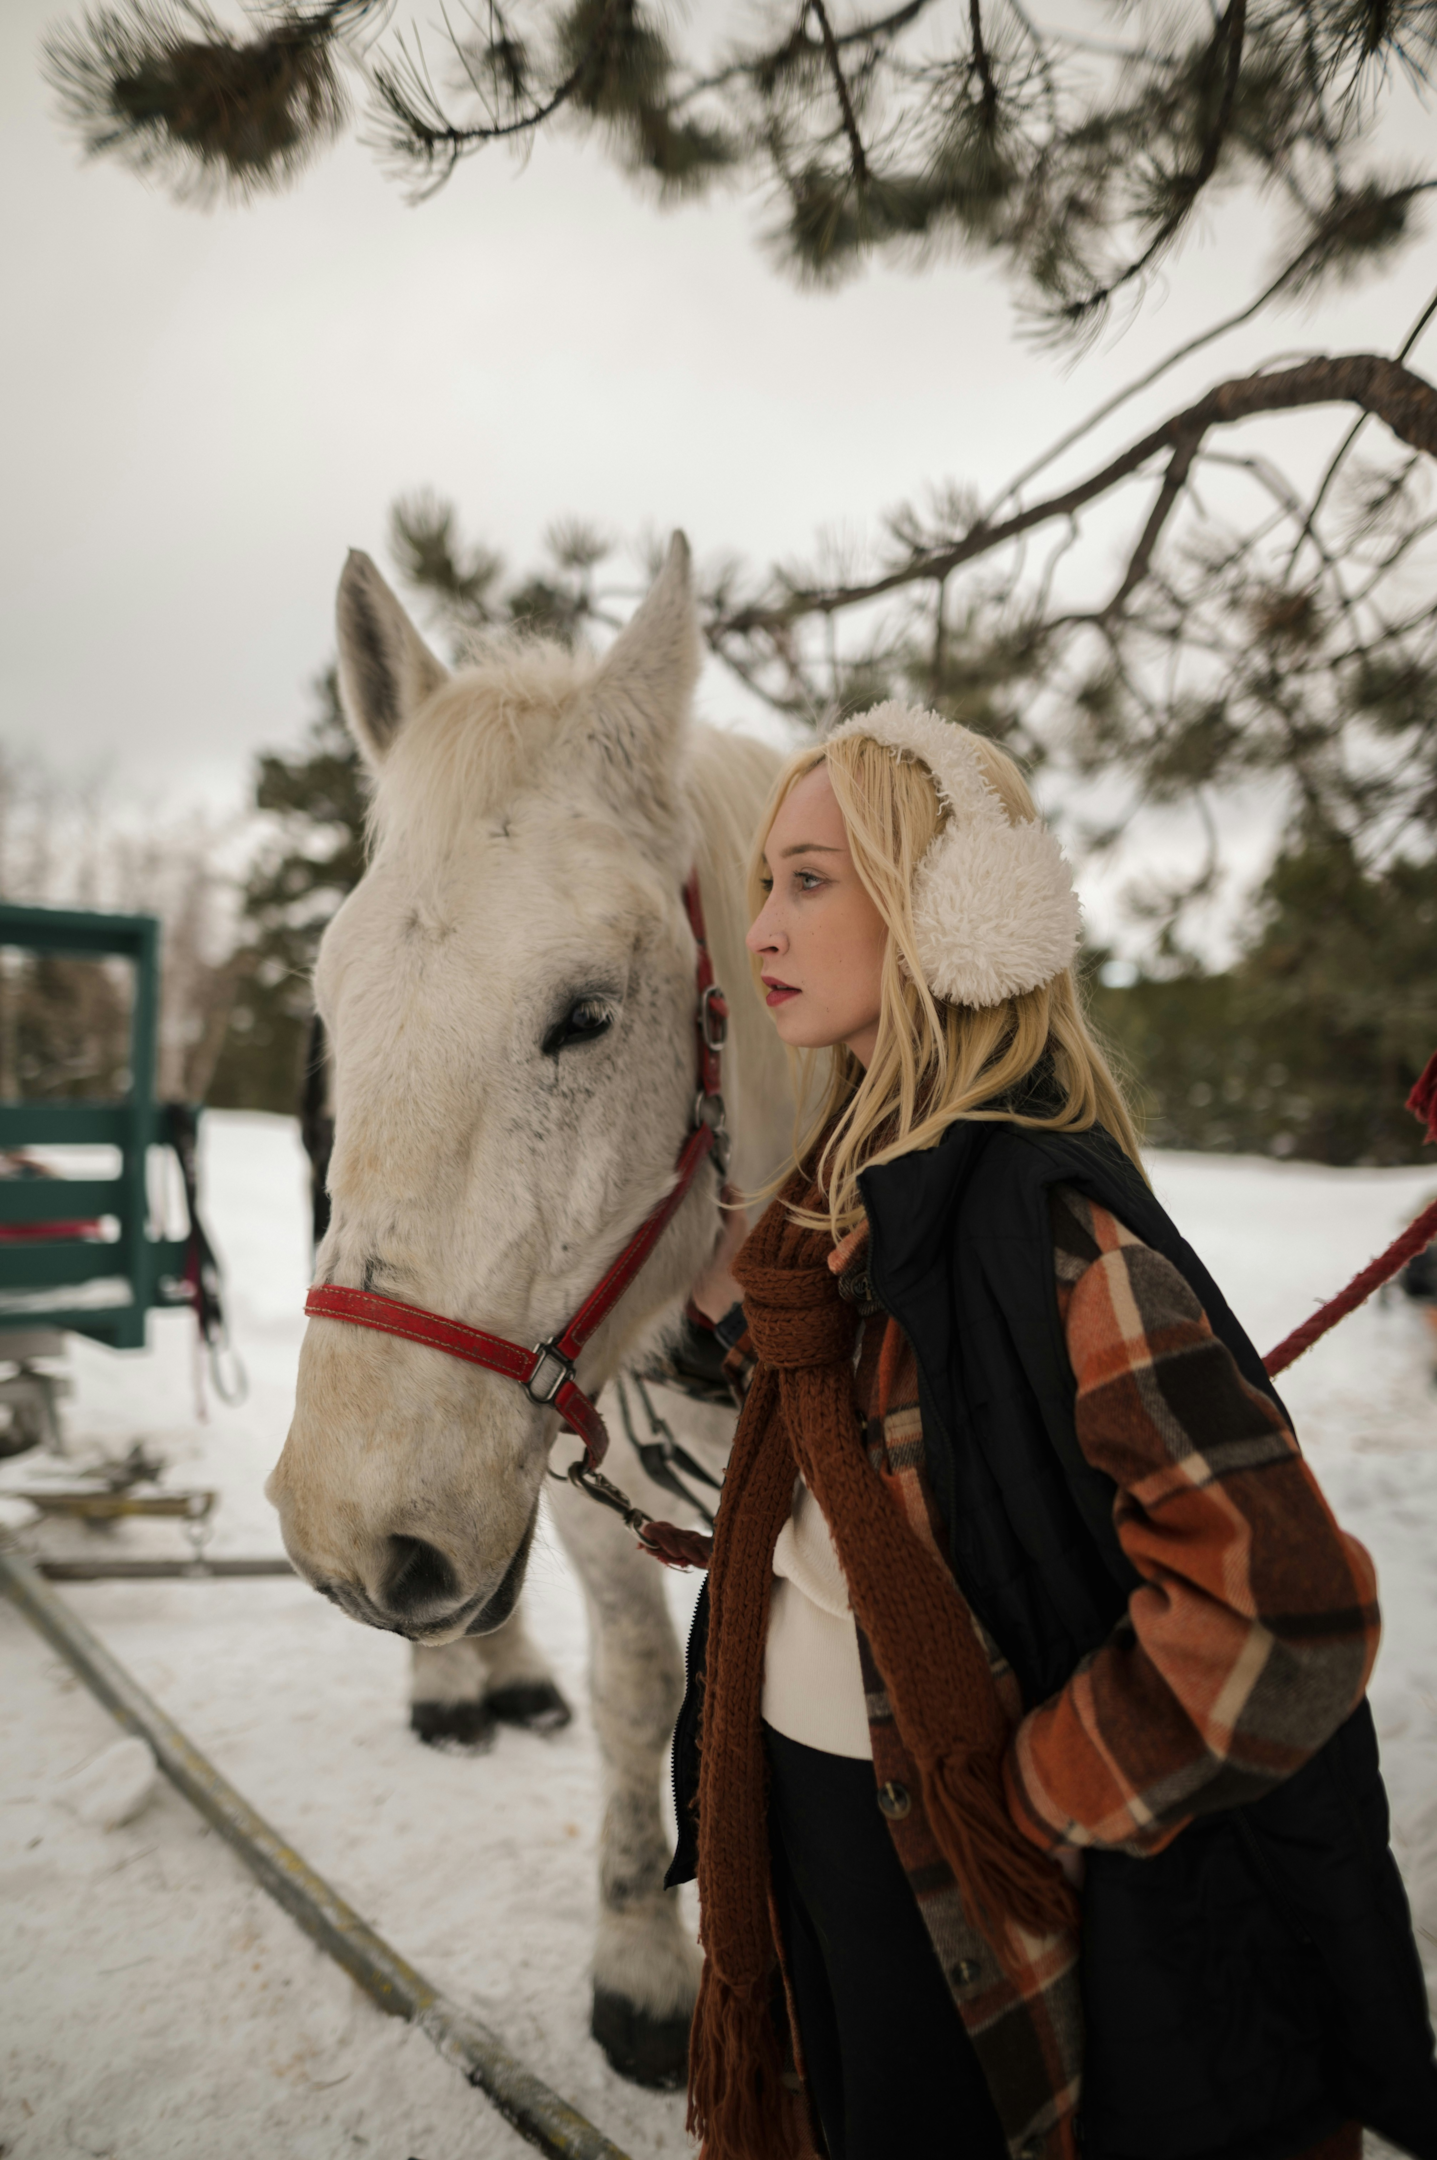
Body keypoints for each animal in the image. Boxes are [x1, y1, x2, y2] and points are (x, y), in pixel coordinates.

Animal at [263, 540, 790, 2090]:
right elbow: (641, 1695)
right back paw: (463, 1681)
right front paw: (644, 1968)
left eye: (587, 1014)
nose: (351, 1534)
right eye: (336, 1002)